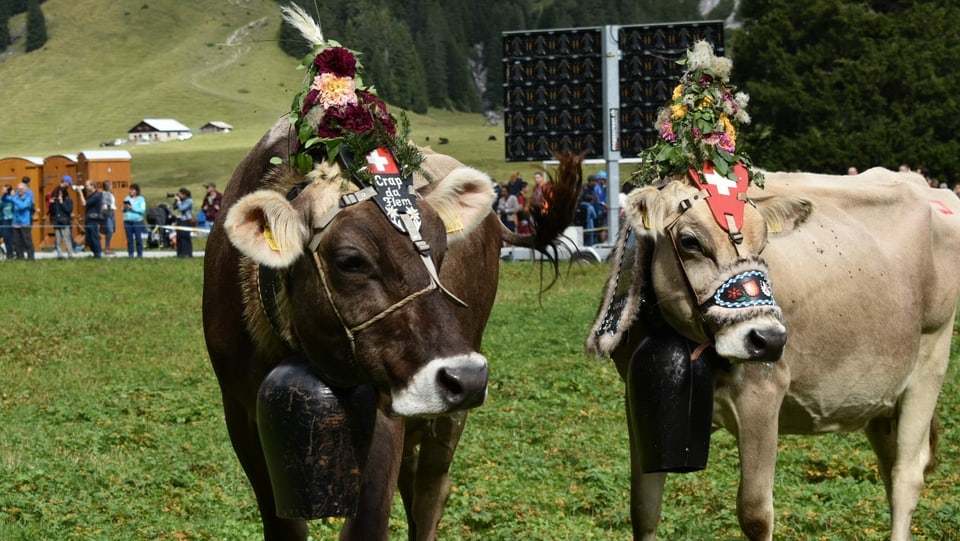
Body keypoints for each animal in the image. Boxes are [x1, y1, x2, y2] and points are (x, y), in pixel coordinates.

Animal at [202, 112, 576, 536]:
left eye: (441, 250)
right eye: (350, 260)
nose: (466, 377)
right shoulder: (241, 413)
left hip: (450, 411)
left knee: (431, 492)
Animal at [584, 167, 960, 536]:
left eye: (763, 244)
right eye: (690, 242)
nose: (768, 339)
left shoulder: (763, 393)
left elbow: (755, 513)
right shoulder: (639, 402)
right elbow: (644, 509)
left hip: (930, 362)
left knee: (906, 475)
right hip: (879, 397)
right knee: (888, 466)